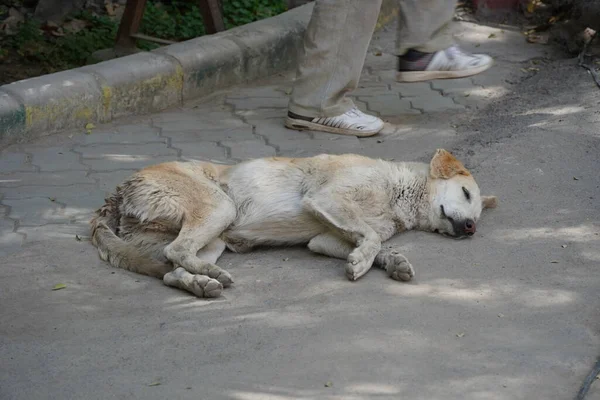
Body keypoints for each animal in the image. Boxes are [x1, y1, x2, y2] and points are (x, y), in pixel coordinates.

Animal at [90, 149, 496, 296]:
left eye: (477, 214)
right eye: (465, 194)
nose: (471, 228)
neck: (396, 191)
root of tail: (117, 192)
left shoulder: (324, 239)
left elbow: (373, 244)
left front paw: (390, 261)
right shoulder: (327, 199)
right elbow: (370, 238)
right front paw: (367, 260)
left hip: (213, 238)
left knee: (171, 269)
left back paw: (202, 283)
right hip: (219, 208)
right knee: (177, 253)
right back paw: (210, 276)